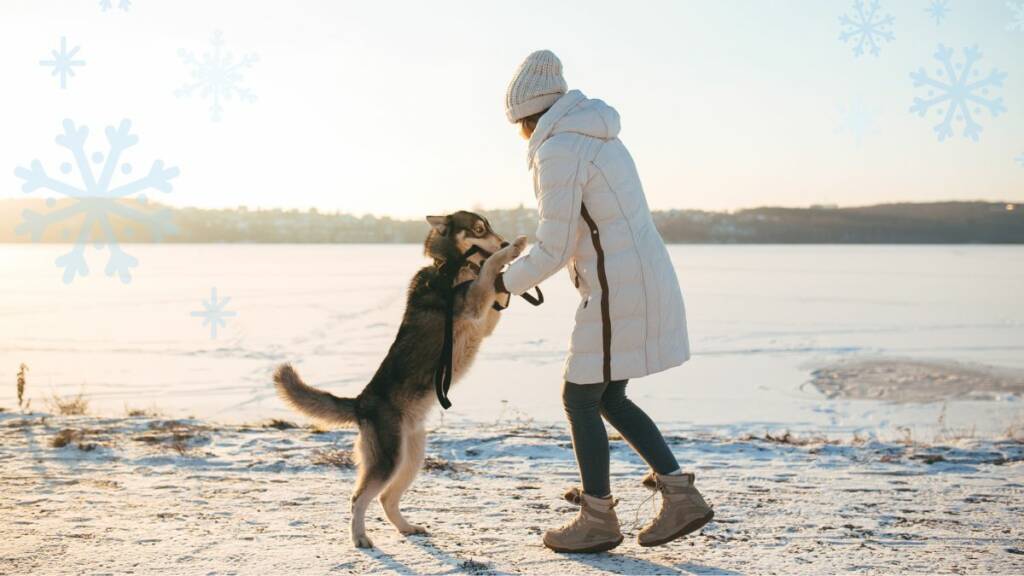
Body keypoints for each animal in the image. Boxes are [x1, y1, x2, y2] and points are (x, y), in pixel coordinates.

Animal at [274, 211, 528, 545]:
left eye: (490, 227)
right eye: (478, 229)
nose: (504, 241)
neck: (450, 267)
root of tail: (360, 403)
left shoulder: (484, 319)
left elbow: (494, 288)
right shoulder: (473, 303)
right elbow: (488, 268)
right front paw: (511, 251)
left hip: (411, 457)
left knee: (386, 499)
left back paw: (406, 527)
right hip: (387, 460)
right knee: (358, 499)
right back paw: (360, 538)